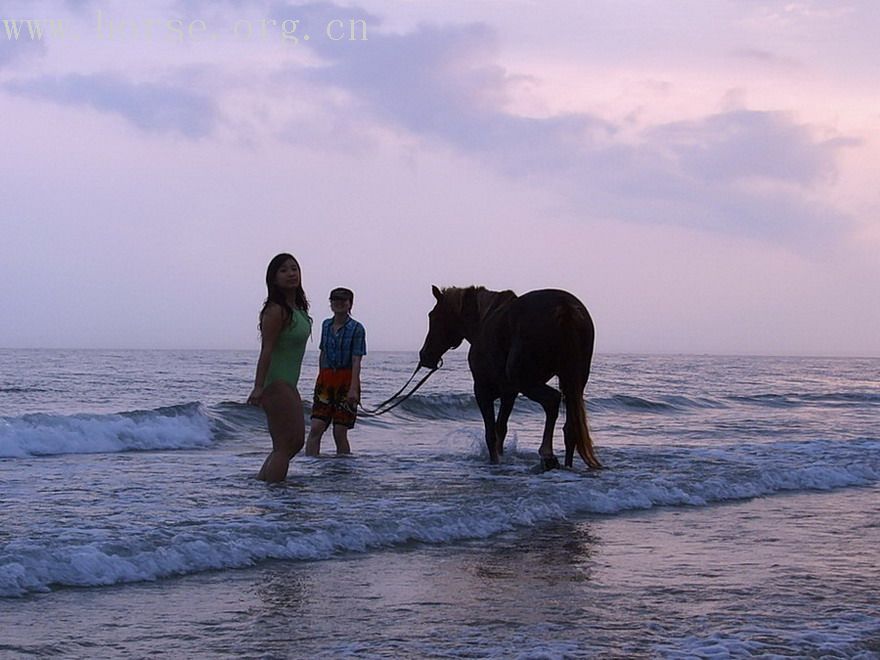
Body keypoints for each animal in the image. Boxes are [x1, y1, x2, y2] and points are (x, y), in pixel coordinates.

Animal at [418, 284, 600, 470]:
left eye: (432, 316)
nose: (425, 355)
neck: (483, 321)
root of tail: (564, 306)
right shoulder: (509, 393)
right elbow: (501, 429)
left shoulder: (482, 391)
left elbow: (491, 434)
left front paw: (495, 462)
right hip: (572, 383)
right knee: (570, 430)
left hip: (526, 381)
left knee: (552, 400)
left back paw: (547, 454)